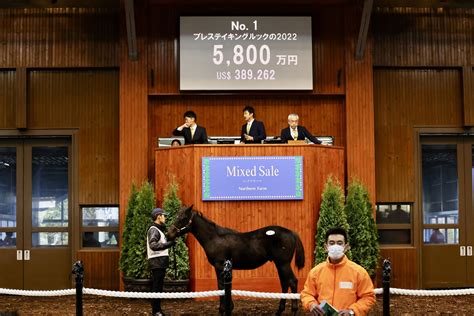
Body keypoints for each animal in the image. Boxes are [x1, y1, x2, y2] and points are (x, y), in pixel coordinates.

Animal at [168, 206, 306, 314]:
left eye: (182, 218)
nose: (169, 234)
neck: (214, 238)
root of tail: (291, 232)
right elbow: (224, 287)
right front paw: (229, 307)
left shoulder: (219, 265)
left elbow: (221, 287)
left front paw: (223, 309)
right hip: (279, 264)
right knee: (284, 283)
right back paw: (279, 310)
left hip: (283, 263)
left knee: (292, 281)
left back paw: (294, 310)